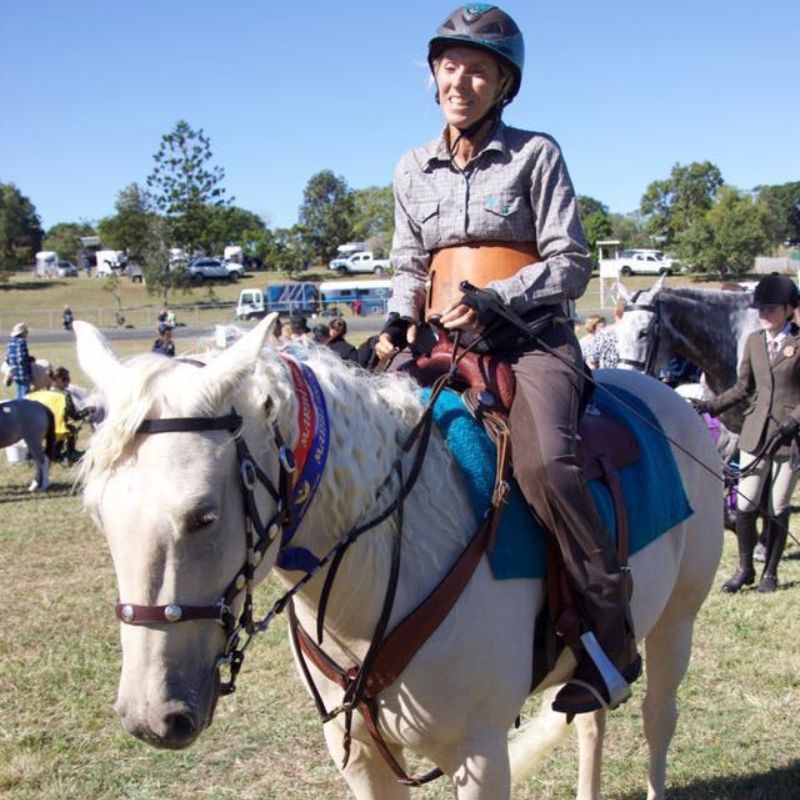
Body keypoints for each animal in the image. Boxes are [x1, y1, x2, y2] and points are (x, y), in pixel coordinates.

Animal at [74, 316, 723, 800]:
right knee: (591, 718)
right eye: (99, 516)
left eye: (203, 516)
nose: (150, 717)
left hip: (678, 621)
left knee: (658, 715)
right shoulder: (360, 756)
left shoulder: (479, 756)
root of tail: (663, 395)